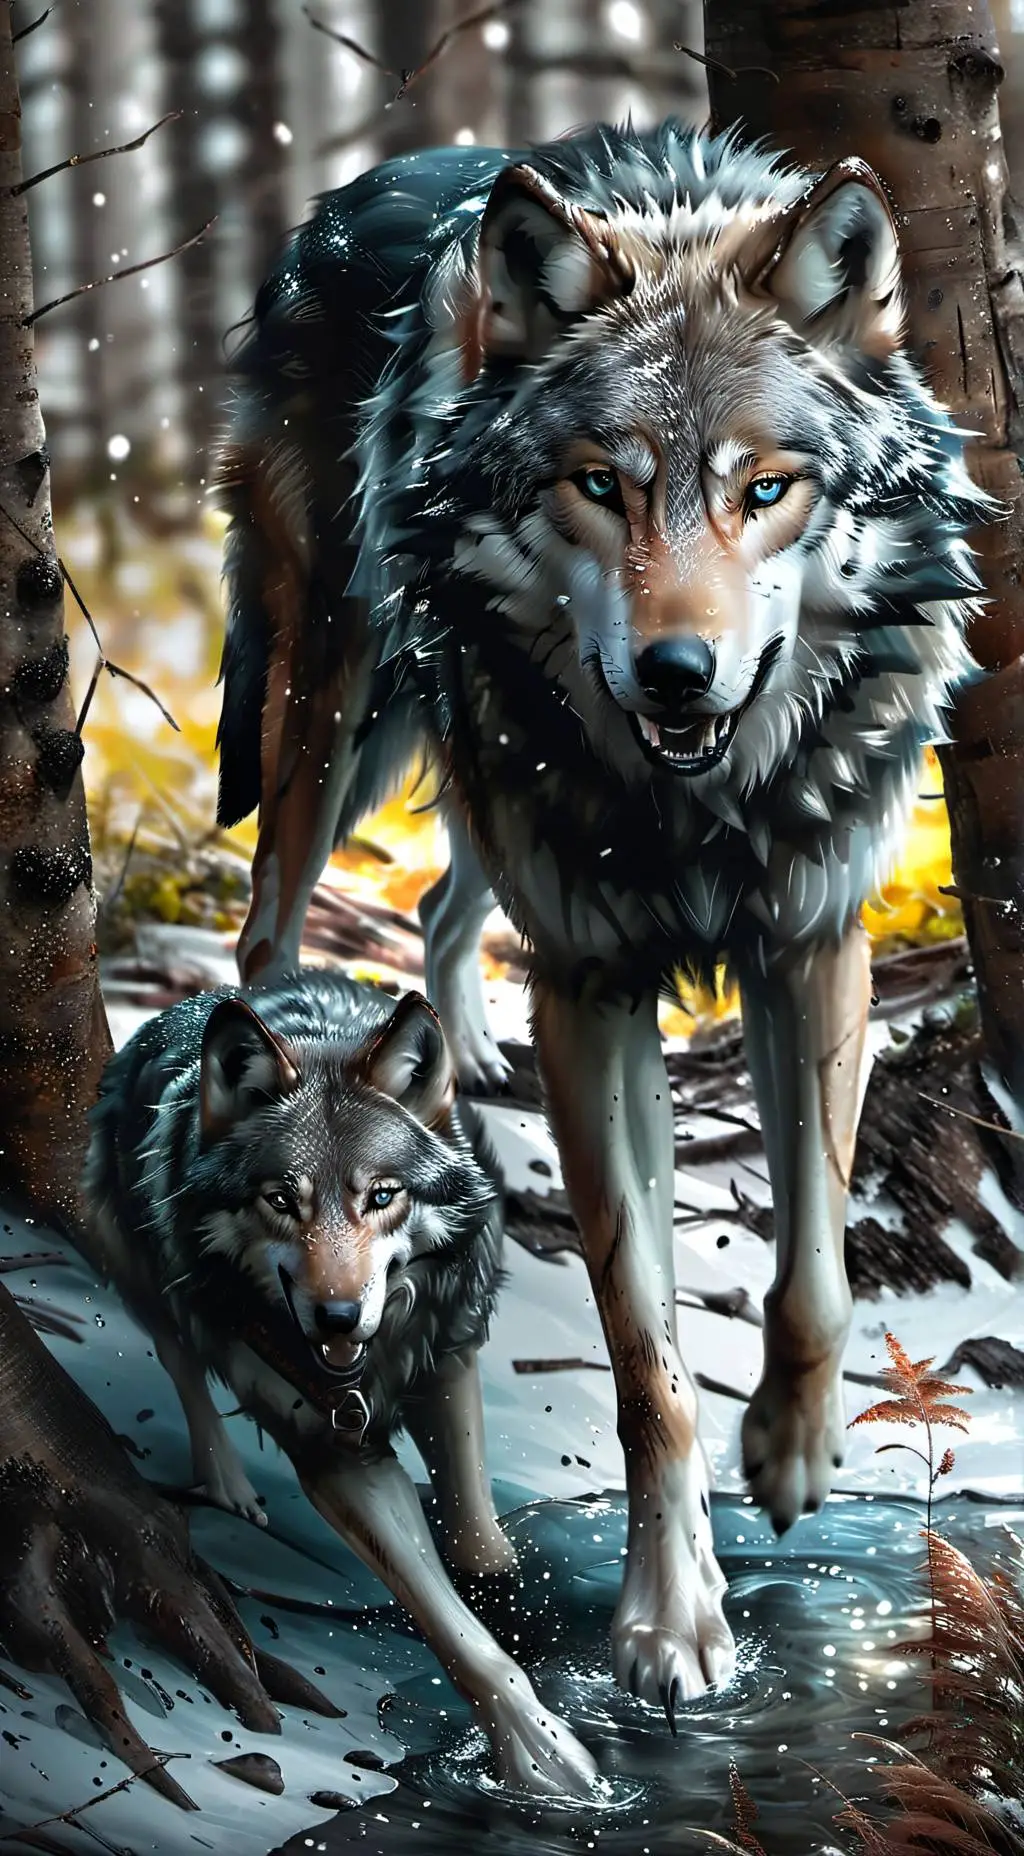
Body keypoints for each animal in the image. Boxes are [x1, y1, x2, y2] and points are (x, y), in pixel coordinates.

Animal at [79, 971, 601, 1797]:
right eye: (280, 1200)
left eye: (381, 1196)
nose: (338, 1316)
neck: (372, 1366)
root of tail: (191, 1003)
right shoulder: (338, 1458)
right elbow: (442, 1618)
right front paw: (547, 1759)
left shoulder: (448, 1360)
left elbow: (477, 1546)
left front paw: (519, 1607)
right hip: (142, 1269)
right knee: (182, 1360)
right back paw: (228, 1483)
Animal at [214, 120, 992, 1724]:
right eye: (600, 484)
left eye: (766, 489)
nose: (677, 672)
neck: (700, 809)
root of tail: (366, 181)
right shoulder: (590, 985)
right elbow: (643, 1356)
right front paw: (670, 1622)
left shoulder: (812, 946)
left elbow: (816, 1269)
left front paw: (792, 1455)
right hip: (334, 722)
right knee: (269, 936)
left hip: (465, 782)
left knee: (440, 903)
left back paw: (454, 1073)